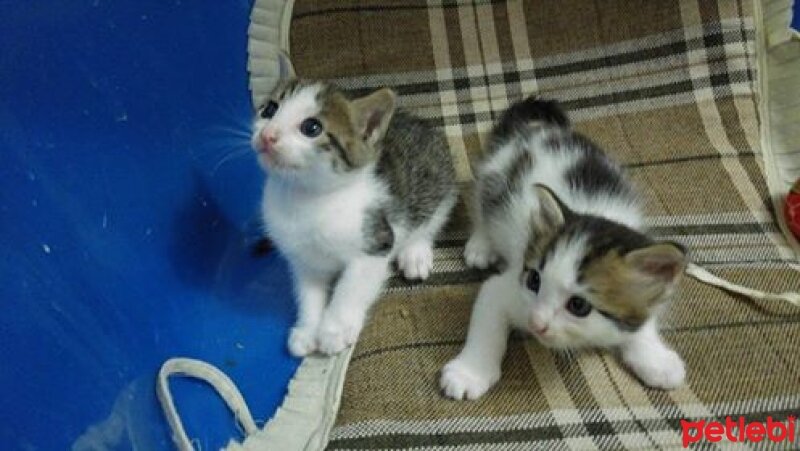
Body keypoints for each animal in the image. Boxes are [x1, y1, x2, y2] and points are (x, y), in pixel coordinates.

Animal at [255, 79, 456, 358]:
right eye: (269, 110)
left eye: (311, 128)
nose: (267, 134)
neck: (307, 200)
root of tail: (419, 121)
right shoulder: (303, 260)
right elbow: (308, 292)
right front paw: (308, 330)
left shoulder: (376, 242)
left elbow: (349, 288)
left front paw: (334, 330)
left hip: (438, 180)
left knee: (429, 218)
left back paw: (415, 253)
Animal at [438, 97, 688, 400]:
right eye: (534, 280)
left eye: (578, 305)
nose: (536, 323)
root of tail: (539, 131)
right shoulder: (507, 288)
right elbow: (488, 317)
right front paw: (469, 373)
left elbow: (642, 321)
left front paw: (657, 360)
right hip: (494, 178)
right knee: (482, 204)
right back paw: (481, 244)